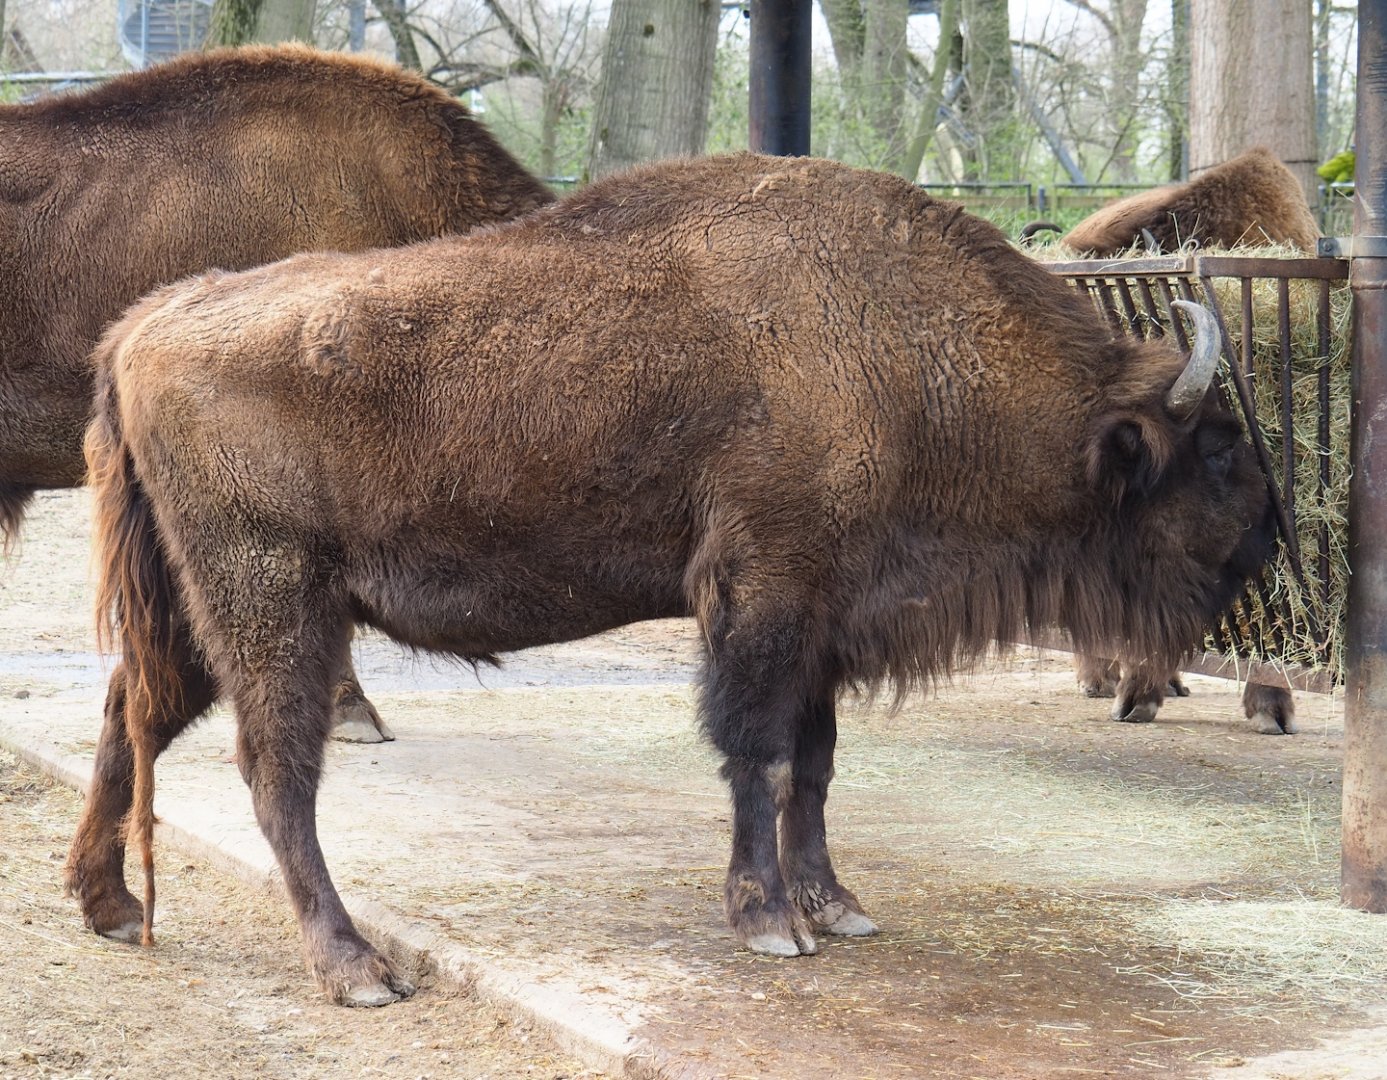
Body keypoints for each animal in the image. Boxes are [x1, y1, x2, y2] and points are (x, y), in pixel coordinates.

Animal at [68, 154, 1273, 1005]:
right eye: (1214, 449)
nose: (1264, 540)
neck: (896, 346)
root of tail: (145, 325)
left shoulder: (821, 616)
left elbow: (813, 767)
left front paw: (837, 908)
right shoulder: (764, 596)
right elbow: (760, 756)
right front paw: (771, 923)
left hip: (194, 608)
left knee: (134, 712)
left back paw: (109, 908)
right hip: (276, 603)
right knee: (276, 771)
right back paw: (356, 968)